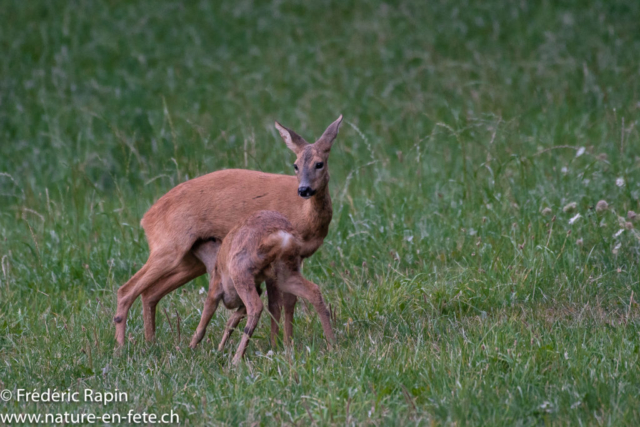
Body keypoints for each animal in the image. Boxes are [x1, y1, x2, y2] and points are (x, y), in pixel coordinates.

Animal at [112, 115, 342, 346]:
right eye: (295, 165)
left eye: (319, 164)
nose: (304, 189)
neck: (304, 216)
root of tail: (147, 218)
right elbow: (275, 304)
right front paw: (276, 344)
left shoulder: (295, 258)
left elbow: (289, 300)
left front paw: (287, 343)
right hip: (169, 247)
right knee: (126, 290)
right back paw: (121, 347)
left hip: (191, 261)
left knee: (149, 293)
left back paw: (150, 342)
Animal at [188, 211, 336, 364]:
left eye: (208, 238)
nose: (193, 243)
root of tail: (282, 236)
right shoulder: (256, 291)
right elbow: (231, 321)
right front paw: (219, 349)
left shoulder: (215, 288)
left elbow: (204, 321)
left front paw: (191, 348)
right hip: (284, 274)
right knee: (313, 291)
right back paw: (331, 345)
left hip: (241, 271)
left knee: (256, 307)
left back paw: (236, 359)